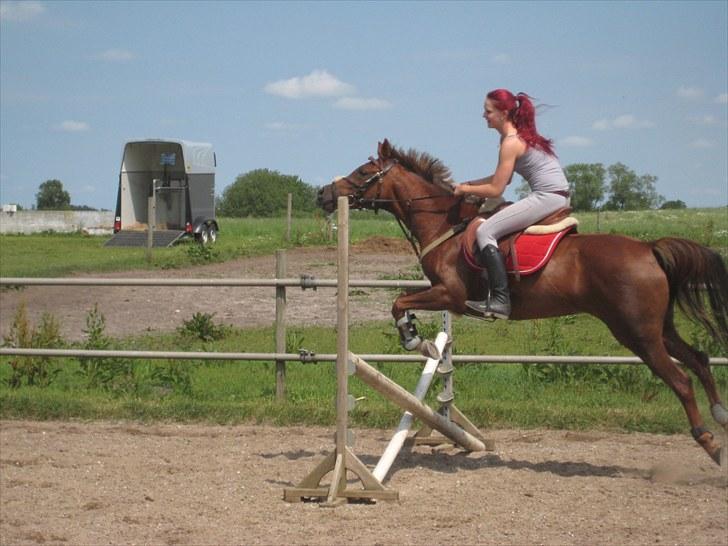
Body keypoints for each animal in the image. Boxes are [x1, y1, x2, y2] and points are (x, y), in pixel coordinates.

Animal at [320, 138, 728, 462]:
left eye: (362, 171)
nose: (323, 194)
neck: (443, 224)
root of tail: (649, 248)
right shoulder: (445, 296)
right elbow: (401, 303)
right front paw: (422, 342)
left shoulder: (450, 295)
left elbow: (400, 303)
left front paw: (415, 340)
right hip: (658, 327)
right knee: (699, 359)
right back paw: (720, 414)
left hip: (636, 332)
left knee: (681, 379)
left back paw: (708, 440)